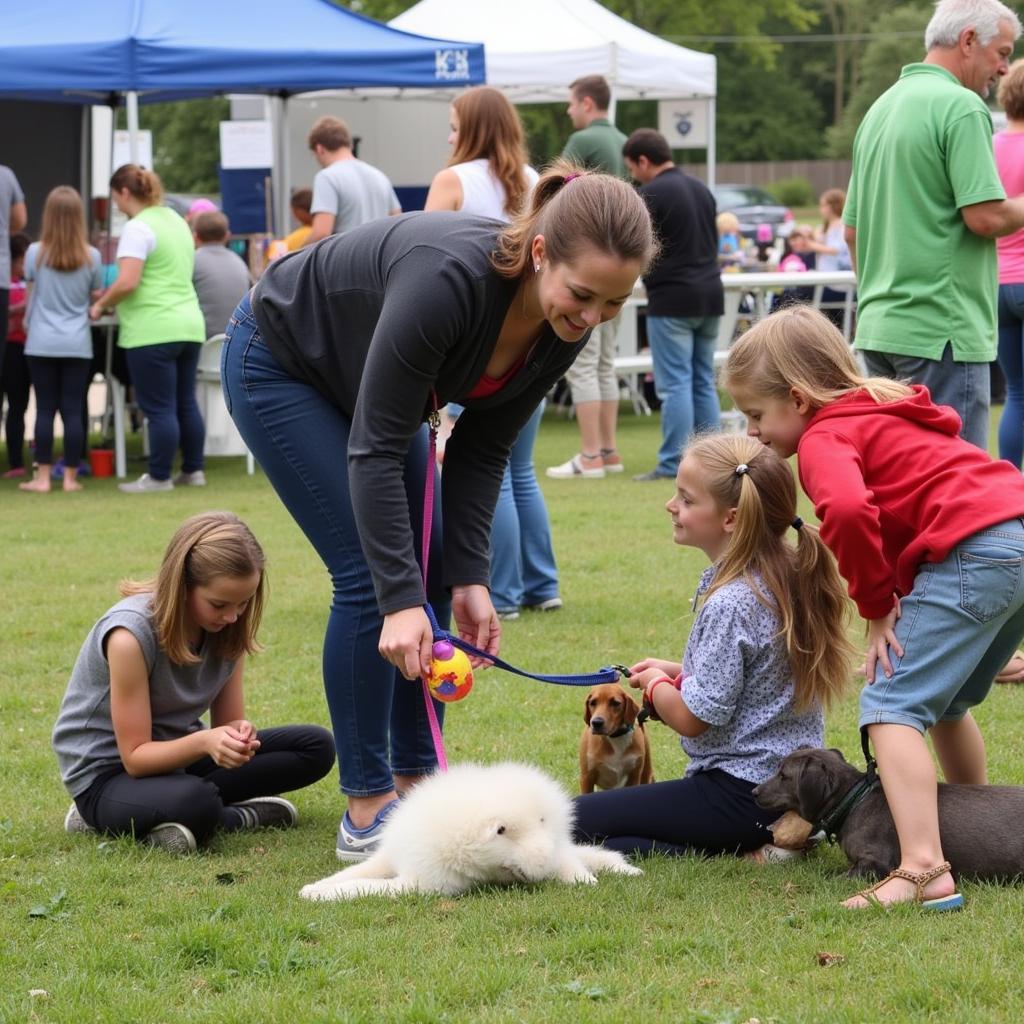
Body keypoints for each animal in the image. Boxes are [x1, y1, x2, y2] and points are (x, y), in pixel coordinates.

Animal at [299, 761, 643, 897]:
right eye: (503, 832)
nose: (543, 863)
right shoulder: (390, 856)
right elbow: (352, 874)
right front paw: (316, 887)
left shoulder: (417, 883)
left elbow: (364, 886)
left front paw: (322, 894)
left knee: (577, 860)